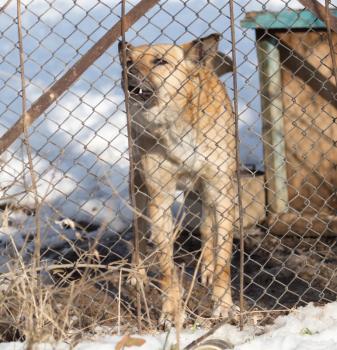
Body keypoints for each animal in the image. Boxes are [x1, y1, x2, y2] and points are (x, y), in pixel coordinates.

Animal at [119, 34, 235, 324]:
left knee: (207, 229)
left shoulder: (222, 193)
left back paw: (207, 266)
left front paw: (223, 304)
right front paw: (171, 311)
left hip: (207, 192)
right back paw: (137, 272)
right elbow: (166, 269)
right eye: (129, 61)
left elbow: (224, 258)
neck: (176, 126)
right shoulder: (159, 200)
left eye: (160, 61)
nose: (127, 73)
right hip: (138, 188)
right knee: (138, 232)